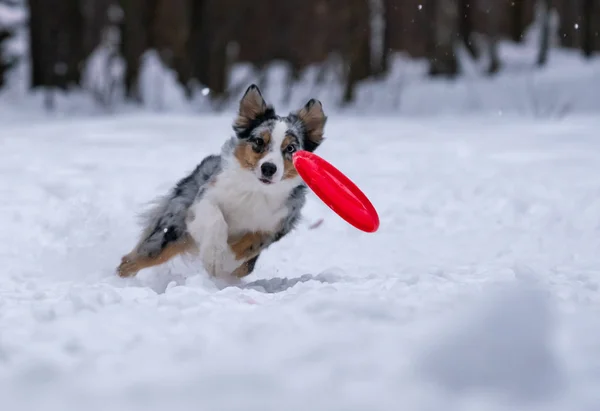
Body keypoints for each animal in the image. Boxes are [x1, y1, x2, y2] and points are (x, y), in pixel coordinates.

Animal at [115, 85, 326, 282]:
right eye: (259, 141)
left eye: (291, 148)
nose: (268, 168)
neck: (256, 190)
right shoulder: (205, 198)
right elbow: (216, 220)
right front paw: (214, 256)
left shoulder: (278, 224)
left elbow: (250, 243)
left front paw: (224, 263)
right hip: (171, 230)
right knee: (132, 260)